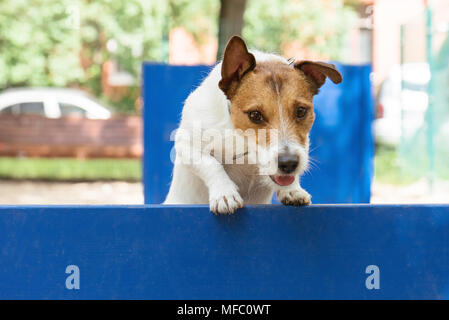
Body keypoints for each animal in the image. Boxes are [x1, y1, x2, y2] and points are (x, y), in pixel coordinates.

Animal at [163, 36, 342, 214]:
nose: (288, 163)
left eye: (300, 111)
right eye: (255, 115)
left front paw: (292, 189)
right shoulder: (187, 146)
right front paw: (225, 193)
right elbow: (212, 164)